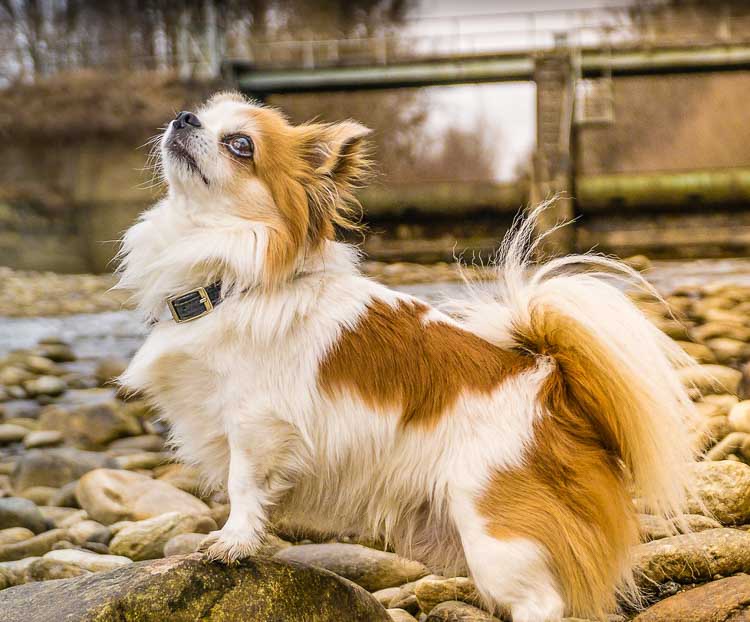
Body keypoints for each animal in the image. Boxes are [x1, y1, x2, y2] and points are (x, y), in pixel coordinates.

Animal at [117, 92, 700, 622]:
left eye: (240, 145)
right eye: (201, 113)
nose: (183, 117)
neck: (227, 281)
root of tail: (553, 386)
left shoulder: (256, 423)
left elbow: (242, 484)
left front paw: (233, 540)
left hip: (495, 533)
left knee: (543, 603)